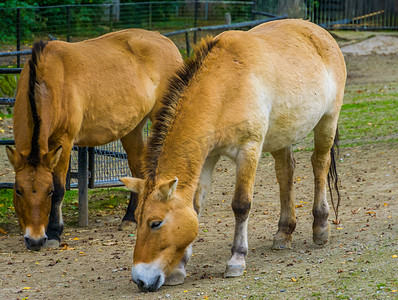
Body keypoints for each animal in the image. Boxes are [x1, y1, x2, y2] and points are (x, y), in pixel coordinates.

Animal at [5, 29, 183, 251]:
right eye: (18, 191)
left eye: (49, 191)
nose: (35, 240)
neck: (49, 80)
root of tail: (166, 41)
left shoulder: (64, 141)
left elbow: (61, 188)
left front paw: (54, 232)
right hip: (132, 129)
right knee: (138, 171)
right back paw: (130, 218)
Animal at [120, 19, 346, 292]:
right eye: (137, 219)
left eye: (156, 222)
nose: (141, 280)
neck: (225, 88)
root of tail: (320, 33)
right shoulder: (207, 157)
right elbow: (195, 208)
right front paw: (180, 268)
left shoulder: (248, 149)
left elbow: (241, 205)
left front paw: (236, 260)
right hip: (281, 136)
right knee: (286, 172)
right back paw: (284, 232)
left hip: (328, 120)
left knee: (319, 164)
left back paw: (320, 229)